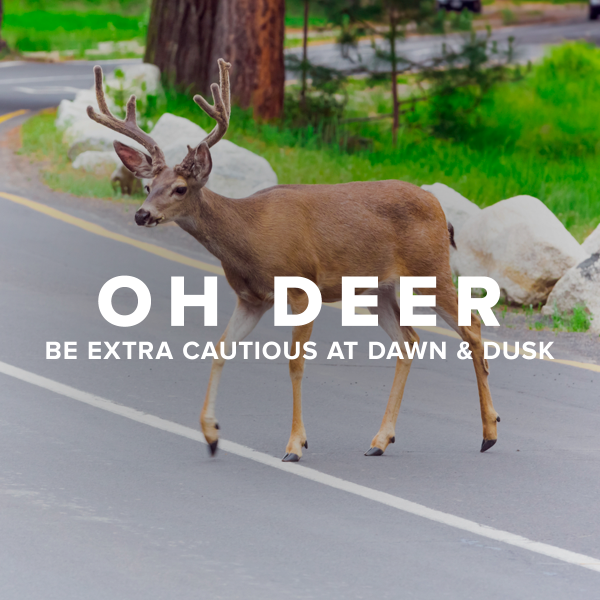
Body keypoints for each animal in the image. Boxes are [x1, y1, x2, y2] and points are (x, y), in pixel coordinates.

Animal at [88, 61, 502, 462]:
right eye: (147, 186)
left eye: (179, 188)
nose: (142, 214)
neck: (249, 236)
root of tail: (440, 208)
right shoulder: (251, 298)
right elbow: (221, 348)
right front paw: (211, 435)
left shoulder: (302, 286)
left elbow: (295, 363)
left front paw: (295, 445)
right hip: (379, 289)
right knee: (409, 339)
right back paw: (381, 440)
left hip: (430, 268)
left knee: (472, 325)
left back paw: (489, 433)